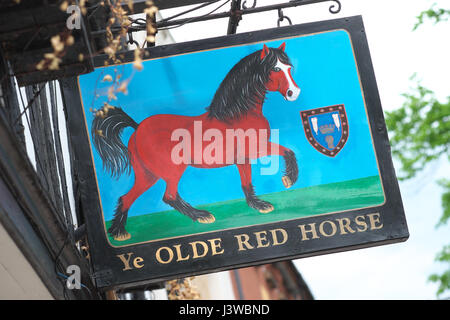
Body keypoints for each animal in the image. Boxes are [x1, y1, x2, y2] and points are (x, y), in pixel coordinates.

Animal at [92, 43, 300, 240]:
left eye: (289, 67)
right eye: (275, 68)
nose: (294, 93)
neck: (237, 115)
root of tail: (137, 128)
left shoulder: (243, 158)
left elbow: (247, 182)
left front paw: (259, 205)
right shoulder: (256, 149)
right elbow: (287, 151)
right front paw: (288, 180)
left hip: (147, 174)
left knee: (127, 197)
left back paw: (119, 232)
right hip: (172, 169)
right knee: (169, 196)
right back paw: (202, 216)